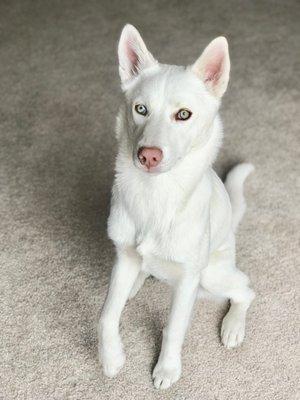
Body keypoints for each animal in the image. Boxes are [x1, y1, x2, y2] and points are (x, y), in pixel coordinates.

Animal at [98, 23, 255, 390]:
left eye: (183, 115)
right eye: (141, 109)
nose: (148, 156)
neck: (155, 194)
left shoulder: (187, 281)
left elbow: (173, 330)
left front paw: (167, 369)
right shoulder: (123, 255)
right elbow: (106, 314)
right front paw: (111, 357)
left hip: (212, 275)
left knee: (246, 291)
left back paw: (233, 326)